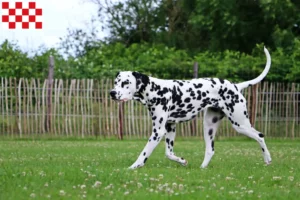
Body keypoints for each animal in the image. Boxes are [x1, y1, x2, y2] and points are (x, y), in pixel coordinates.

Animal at [109, 47, 272, 169]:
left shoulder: (158, 131)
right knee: (210, 150)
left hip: (240, 124)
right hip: (209, 127)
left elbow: (144, 153)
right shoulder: (169, 127)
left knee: (260, 136)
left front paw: (134, 166)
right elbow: (168, 153)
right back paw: (202, 168)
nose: (112, 93)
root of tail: (236, 86)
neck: (155, 89)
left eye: (125, 83)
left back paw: (268, 159)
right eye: (116, 82)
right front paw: (182, 161)